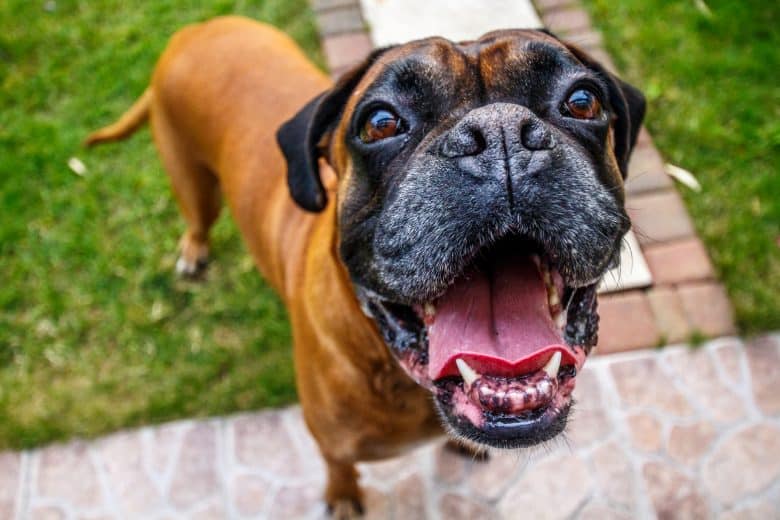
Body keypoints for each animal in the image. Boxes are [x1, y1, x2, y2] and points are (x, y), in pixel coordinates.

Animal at [87, 15, 644, 516]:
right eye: (380, 122)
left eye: (582, 101)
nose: (500, 131)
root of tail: (192, 32)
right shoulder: (330, 442)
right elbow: (339, 468)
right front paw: (343, 497)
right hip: (193, 184)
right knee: (197, 221)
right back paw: (193, 253)